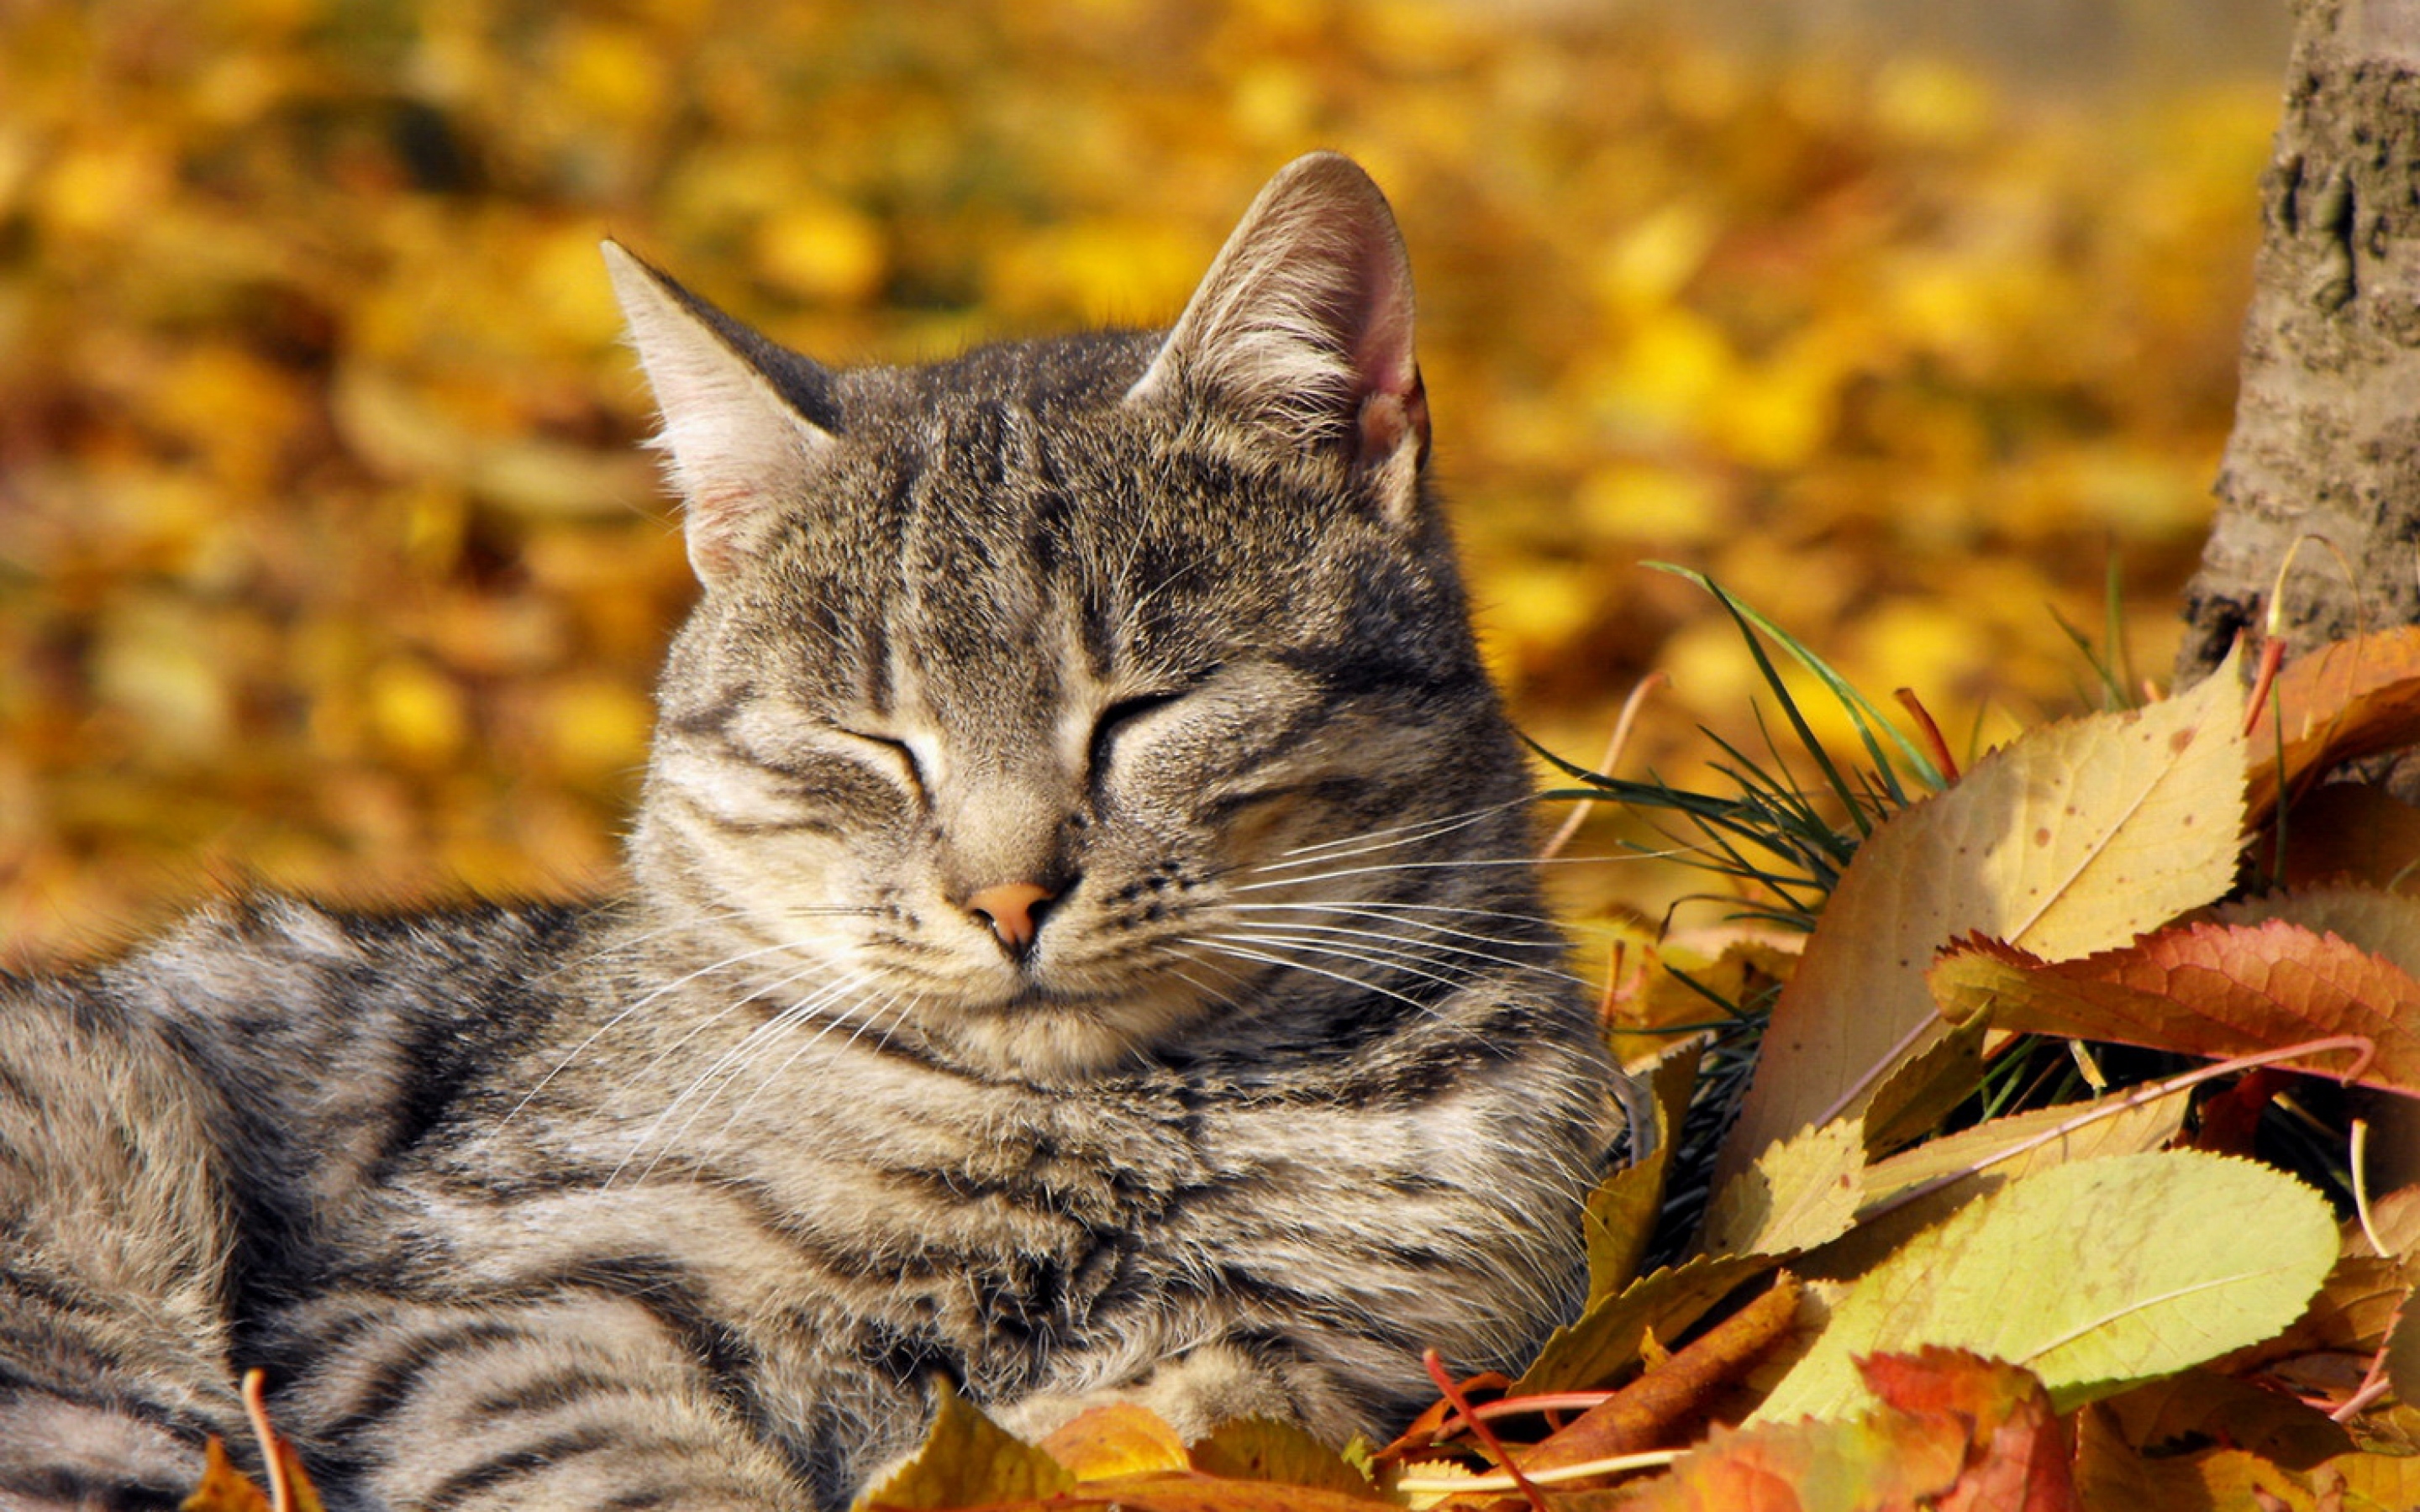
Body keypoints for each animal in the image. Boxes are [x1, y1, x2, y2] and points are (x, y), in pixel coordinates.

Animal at [4, 153, 1626, 1509]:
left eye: (1144, 711)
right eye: (871, 740)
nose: (1010, 897)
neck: (1094, 1126)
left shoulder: (1332, 1332)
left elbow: (1165, 1411)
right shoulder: (470, 1306)